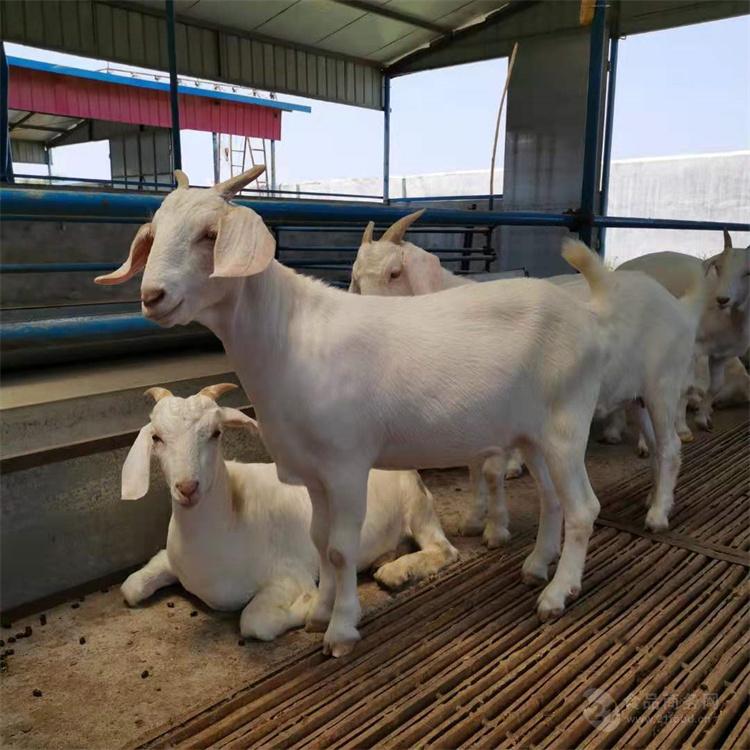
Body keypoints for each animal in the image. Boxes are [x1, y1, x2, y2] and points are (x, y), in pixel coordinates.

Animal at [119, 384, 458, 644]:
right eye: (156, 437)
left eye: (216, 433)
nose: (187, 487)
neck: (233, 515)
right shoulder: (168, 559)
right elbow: (130, 588)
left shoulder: (289, 575)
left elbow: (254, 622)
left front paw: (310, 607)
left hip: (417, 504)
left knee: (444, 549)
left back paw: (397, 571)